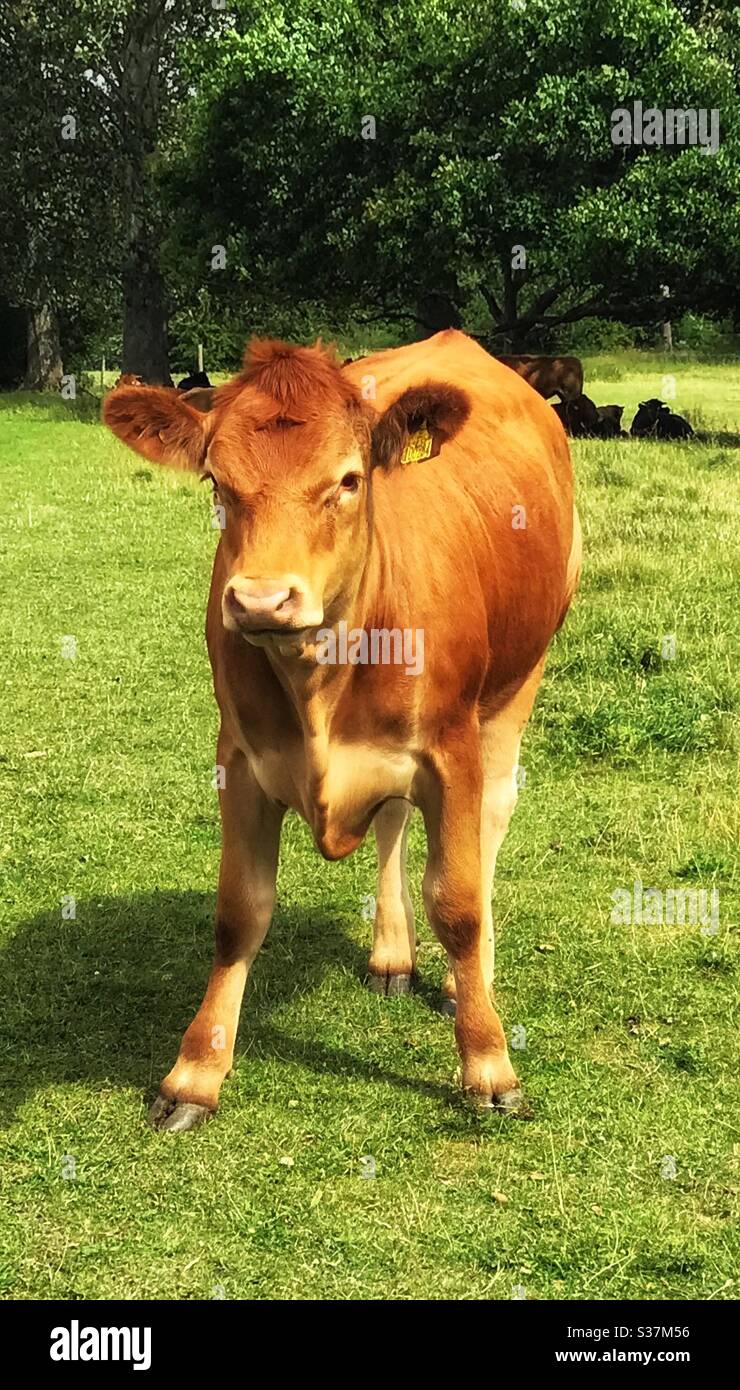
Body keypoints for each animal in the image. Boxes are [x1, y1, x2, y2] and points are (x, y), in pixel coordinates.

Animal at [103, 330, 581, 1132]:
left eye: (350, 481)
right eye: (218, 484)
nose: (262, 599)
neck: (317, 680)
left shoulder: (449, 749)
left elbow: (456, 903)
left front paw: (488, 1062)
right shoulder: (240, 759)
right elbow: (238, 913)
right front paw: (196, 1071)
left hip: (521, 677)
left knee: (490, 821)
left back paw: (468, 981)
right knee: (390, 821)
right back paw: (392, 953)